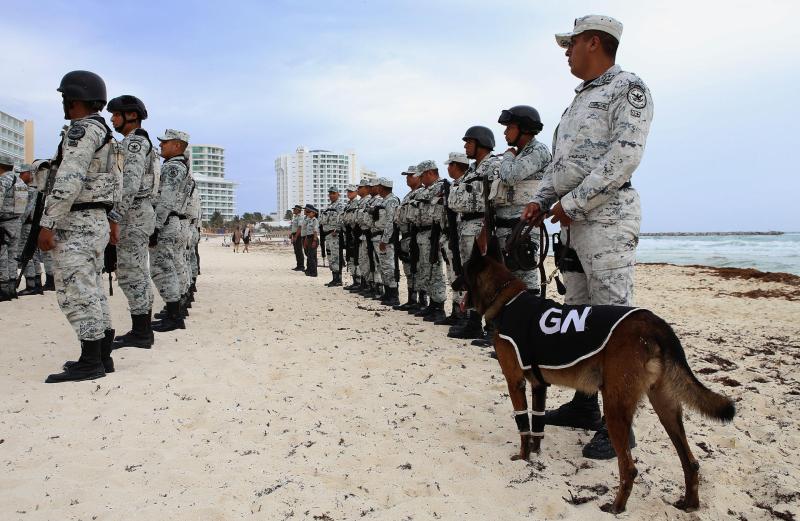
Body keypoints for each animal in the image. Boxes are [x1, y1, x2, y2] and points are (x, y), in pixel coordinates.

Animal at [454, 238, 736, 512]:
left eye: (463, 271)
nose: (454, 283)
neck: (506, 299)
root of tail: (652, 321)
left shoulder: (516, 383)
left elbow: (523, 425)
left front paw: (523, 458)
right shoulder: (538, 386)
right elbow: (538, 424)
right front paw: (536, 453)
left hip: (615, 408)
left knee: (629, 468)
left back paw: (616, 507)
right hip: (665, 408)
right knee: (690, 461)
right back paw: (690, 503)